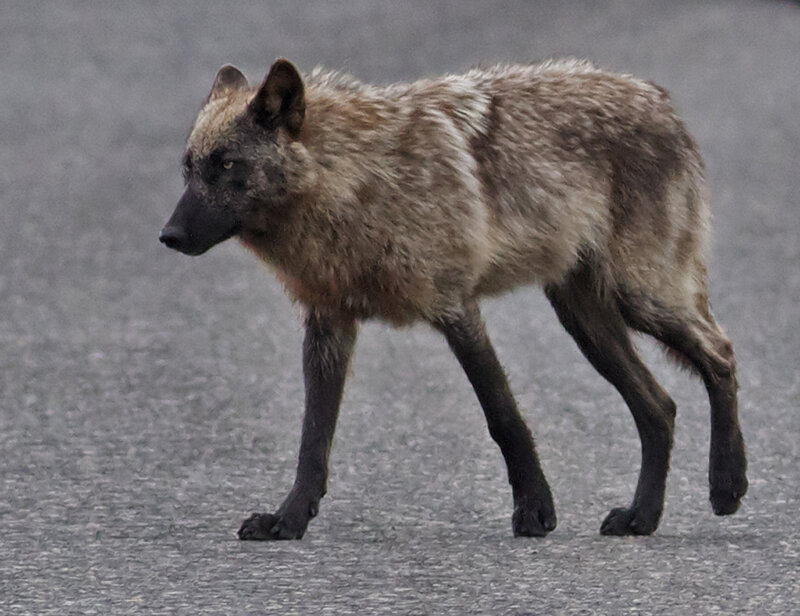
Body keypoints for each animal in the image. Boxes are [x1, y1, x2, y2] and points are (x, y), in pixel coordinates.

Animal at [160, 58, 747, 540]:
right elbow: (313, 440)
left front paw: (535, 512)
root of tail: (659, 99)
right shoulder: (329, 324)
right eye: (189, 169)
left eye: (227, 165)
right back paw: (641, 517)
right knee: (661, 407)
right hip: (587, 321)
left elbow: (503, 416)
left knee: (720, 355)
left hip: (641, 299)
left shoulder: (456, 308)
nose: (168, 236)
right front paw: (288, 519)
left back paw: (727, 484)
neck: (355, 186)